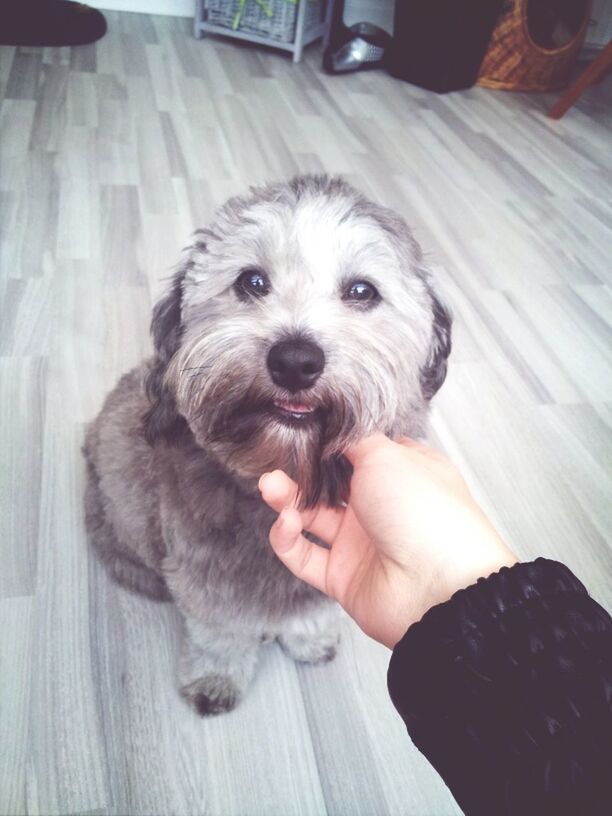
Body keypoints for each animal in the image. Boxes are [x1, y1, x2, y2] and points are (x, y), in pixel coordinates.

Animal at [83, 172, 452, 712]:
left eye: (362, 290)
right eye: (251, 282)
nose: (295, 360)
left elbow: (308, 609)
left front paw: (308, 640)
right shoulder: (207, 580)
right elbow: (219, 633)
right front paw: (215, 678)